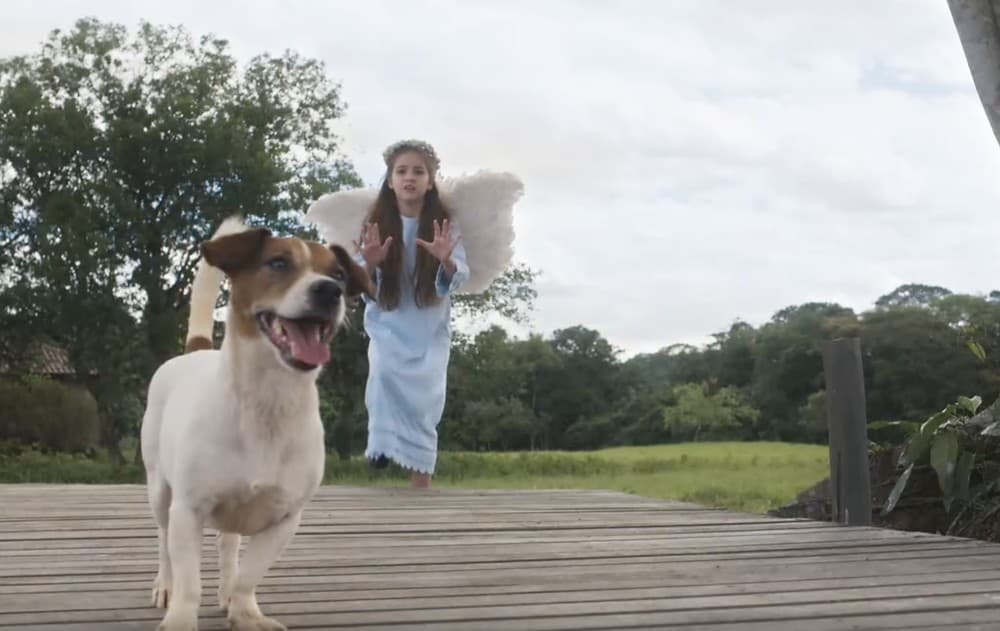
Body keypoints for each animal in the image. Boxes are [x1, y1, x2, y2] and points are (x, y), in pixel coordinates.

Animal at [140, 217, 372, 631]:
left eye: (339, 274)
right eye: (278, 263)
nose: (330, 291)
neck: (269, 401)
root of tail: (197, 350)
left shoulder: (285, 520)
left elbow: (249, 575)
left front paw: (245, 612)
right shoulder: (188, 510)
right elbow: (189, 582)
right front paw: (180, 617)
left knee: (228, 545)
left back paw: (225, 591)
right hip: (160, 490)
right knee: (163, 540)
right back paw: (164, 585)